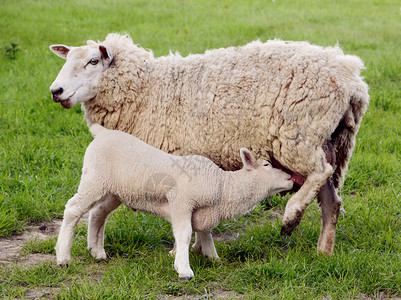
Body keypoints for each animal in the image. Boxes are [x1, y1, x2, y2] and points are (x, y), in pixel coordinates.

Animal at [49, 32, 368, 254]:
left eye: (93, 61)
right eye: (66, 61)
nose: (56, 91)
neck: (148, 90)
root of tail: (351, 79)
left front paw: (187, 249)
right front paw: (199, 247)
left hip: (298, 135)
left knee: (320, 172)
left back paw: (291, 216)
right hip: (327, 141)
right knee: (331, 202)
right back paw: (323, 252)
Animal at [55, 123, 294, 278]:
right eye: (266, 165)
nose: (291, 178)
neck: (221, 186)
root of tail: (102, 133)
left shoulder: (203, 211)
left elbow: (205, 232)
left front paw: (213, 258)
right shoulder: (181, 201)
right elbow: (184, 233)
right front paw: (184, 269)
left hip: (114, 190)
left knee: (98, 213)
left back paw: (97, 253)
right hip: (94, 179)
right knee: (73, 209)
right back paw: (63, 258)